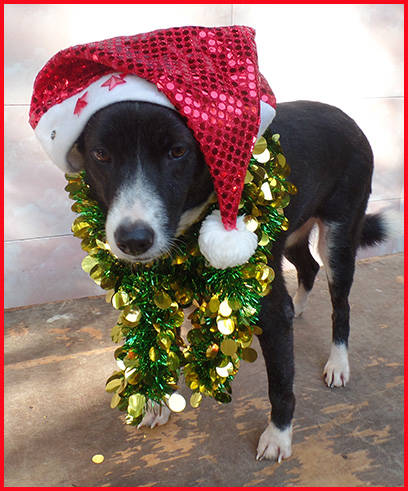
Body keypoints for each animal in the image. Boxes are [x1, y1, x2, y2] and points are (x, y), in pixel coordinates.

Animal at [67, 99, 385, 462]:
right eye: (101, 154)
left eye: (178, 151)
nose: (133, 240)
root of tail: (345, 116)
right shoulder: (156, 289)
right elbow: (156, 342)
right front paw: (155, 400)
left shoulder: (270, 309)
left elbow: (281, 382)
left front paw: (278, 436)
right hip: (291, 235)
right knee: (308, 268)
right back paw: (300, 307)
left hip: (339, 238)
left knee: (340, 304)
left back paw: (338, 362)